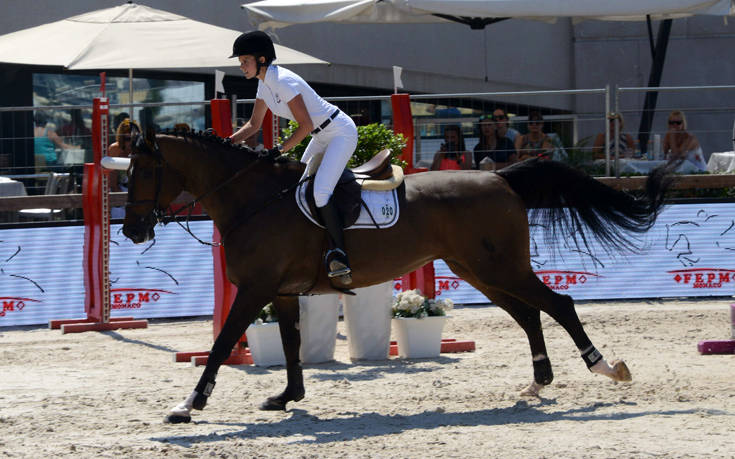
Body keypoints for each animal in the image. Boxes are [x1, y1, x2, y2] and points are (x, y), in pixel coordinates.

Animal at [121, 129, 670, 424]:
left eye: (143, 172)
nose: (130, 231)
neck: (252, 199)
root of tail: (499, 176)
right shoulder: (280, 291)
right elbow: (291, 345)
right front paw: (286, 397)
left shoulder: (256, 289)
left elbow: (220, 346)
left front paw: (188, 405)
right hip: (480, 270)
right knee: (529, 313)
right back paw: (538, 383)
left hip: (499, 267)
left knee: (558, 305)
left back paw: (605, 369)